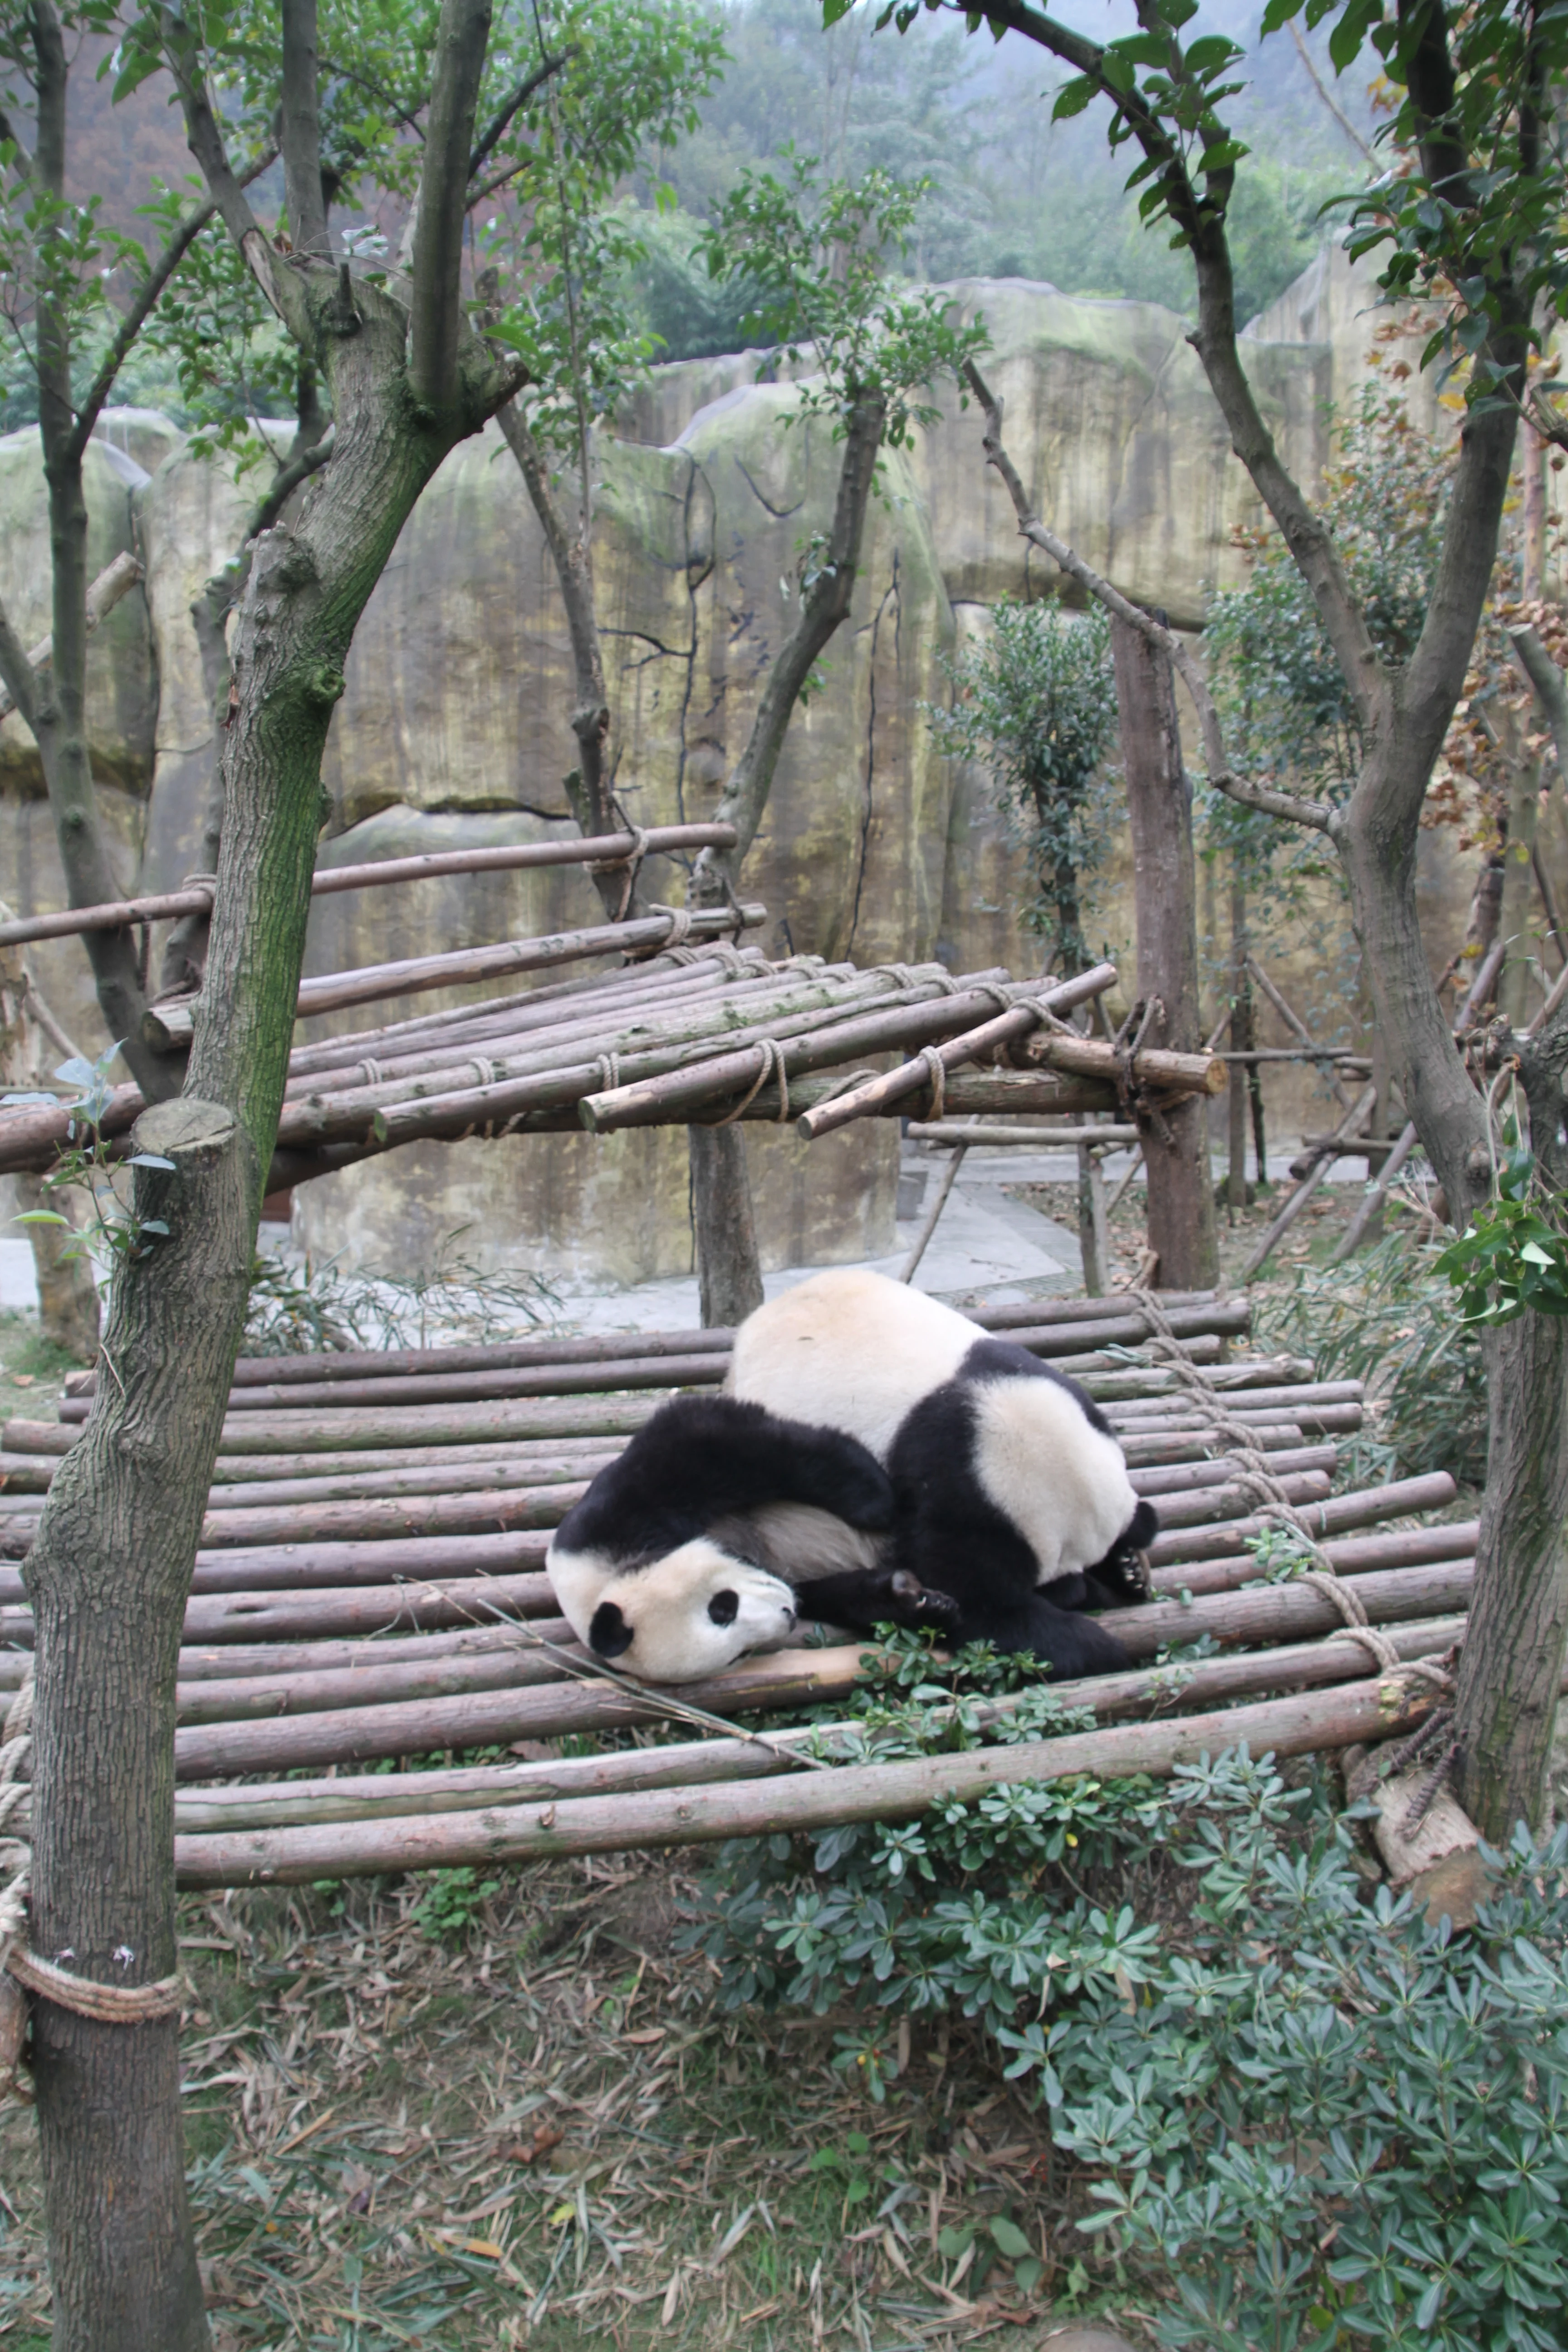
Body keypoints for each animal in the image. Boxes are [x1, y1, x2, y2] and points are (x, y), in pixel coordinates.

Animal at [545, 1391, 962, 1683]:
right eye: (738, 1655)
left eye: (722, 1608)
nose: (788, 1615)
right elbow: (829, 1593)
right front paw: (912, 1599)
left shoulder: (611, 1519)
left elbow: (711, 1440)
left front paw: (876, 1501)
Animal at [725, 1268, 1158, 1679]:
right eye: (1054, 1582)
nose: (1080, 1591)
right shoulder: (956, 1486)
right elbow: (978, 1605)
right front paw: (1098, 1644)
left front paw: (1128, 1569)